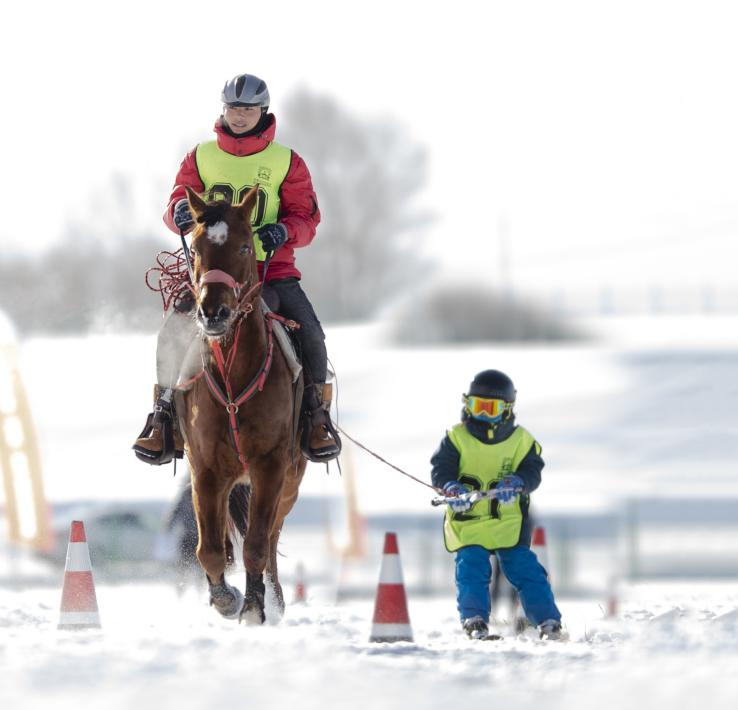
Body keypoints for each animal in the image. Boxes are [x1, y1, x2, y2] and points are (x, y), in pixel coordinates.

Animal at [178, 186, 304, 624]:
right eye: (196, 246)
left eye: (246, 246)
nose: (214, 313)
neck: (233, 374)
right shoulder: (205, 470)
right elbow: (210, 550)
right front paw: (226, 598)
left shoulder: (270, 467)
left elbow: (257, 544)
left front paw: (253, 606)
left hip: (289, 483)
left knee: (269, 538)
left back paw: (274, 598)